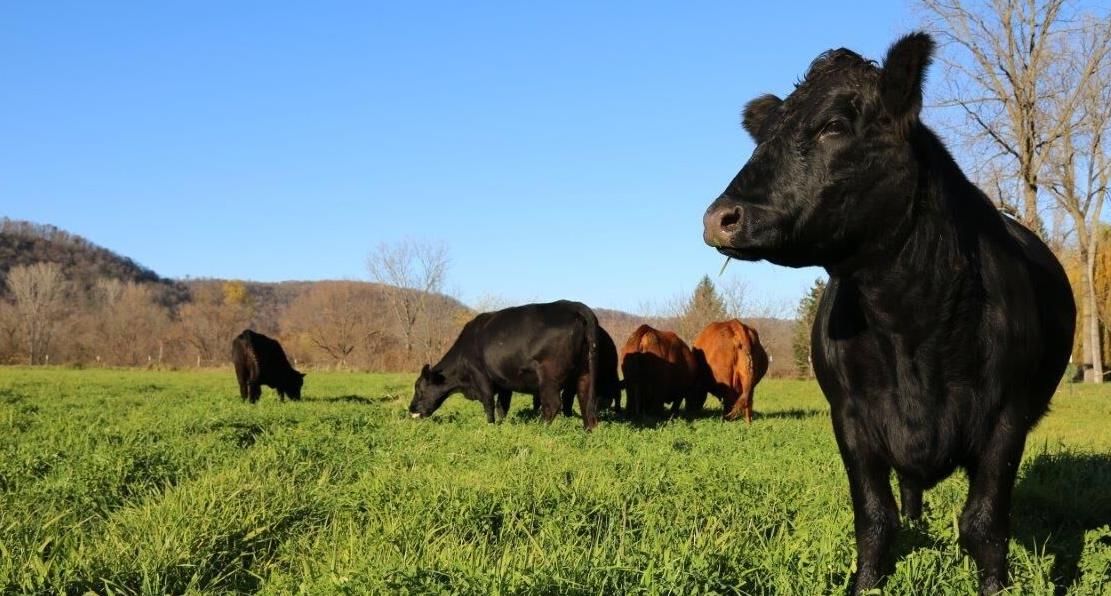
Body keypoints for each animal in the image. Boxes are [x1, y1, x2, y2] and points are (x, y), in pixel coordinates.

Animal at [409, 300, 601, 430]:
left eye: (419, 389)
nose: (411, 409)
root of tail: (575, 306)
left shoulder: (481, 376)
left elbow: (489, 404)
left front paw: (490, 427)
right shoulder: (504, 383)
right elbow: (502, 406)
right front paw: (501, 425)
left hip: (549, 376)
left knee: (552, 405)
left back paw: (538, 429)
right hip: (584, 372)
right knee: (585, 403)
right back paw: (587, 432)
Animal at [702, 33, 1075, 594]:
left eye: (835, 125)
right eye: (762, 137)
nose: (719, 218)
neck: (908, 324)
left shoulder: (1007, 417)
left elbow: (984, 524)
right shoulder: (851, 417)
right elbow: (875, 519)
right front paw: (866, 585)